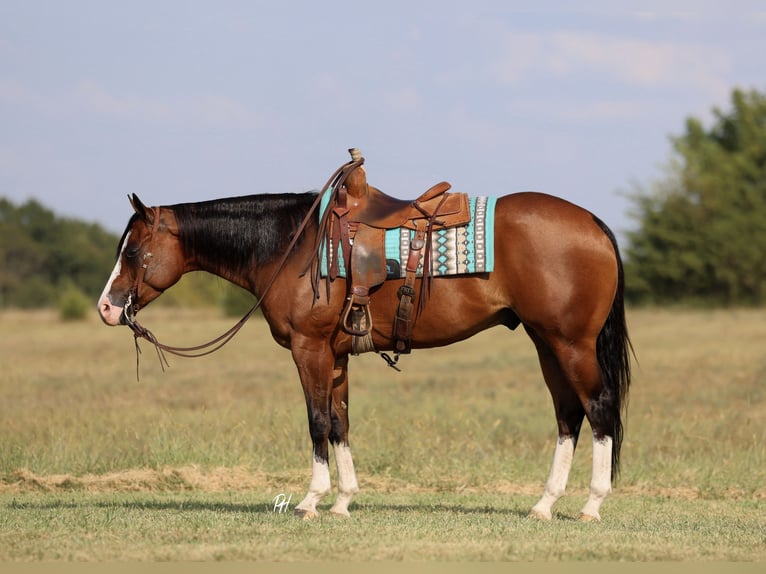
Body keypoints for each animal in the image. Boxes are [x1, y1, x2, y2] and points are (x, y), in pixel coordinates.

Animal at [97, 154, 632, 522]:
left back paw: (591, 505)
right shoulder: (336, 356)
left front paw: (311, 501)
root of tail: (593, 223)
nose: (106, 307)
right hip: (547, 343)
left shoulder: (309, 349)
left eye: (134, 251)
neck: (293, 247)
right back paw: (544, 504)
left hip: (570, 343)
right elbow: (340, 423)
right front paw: (342, 501)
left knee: (599, 407)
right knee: (568, 415)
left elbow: (316, 421)